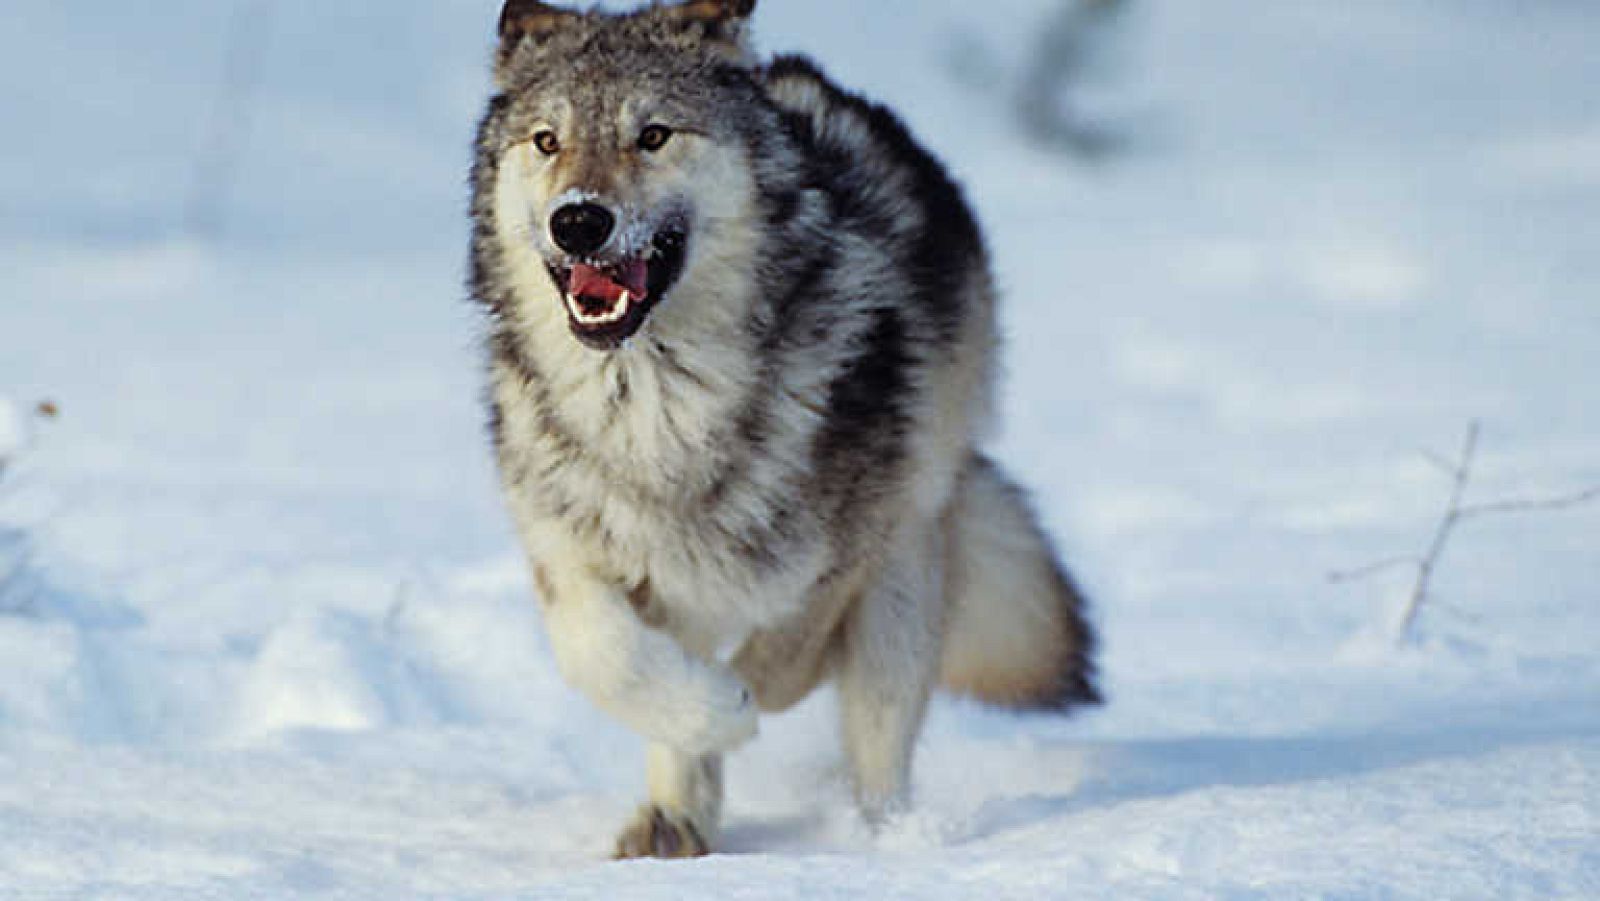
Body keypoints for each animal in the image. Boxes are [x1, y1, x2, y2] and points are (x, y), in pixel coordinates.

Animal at [470, 0, 1101, 859]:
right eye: (546, 141)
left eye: (653, 135)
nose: (578, 220)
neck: (657, 405)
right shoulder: (569, 550)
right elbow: (603, 654)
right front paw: (709, 713)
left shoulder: (848, 553)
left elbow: (785, 657)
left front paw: (739, 700)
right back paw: (673, 822)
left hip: (906, 569)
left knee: (877, 738)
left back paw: (878, 838)